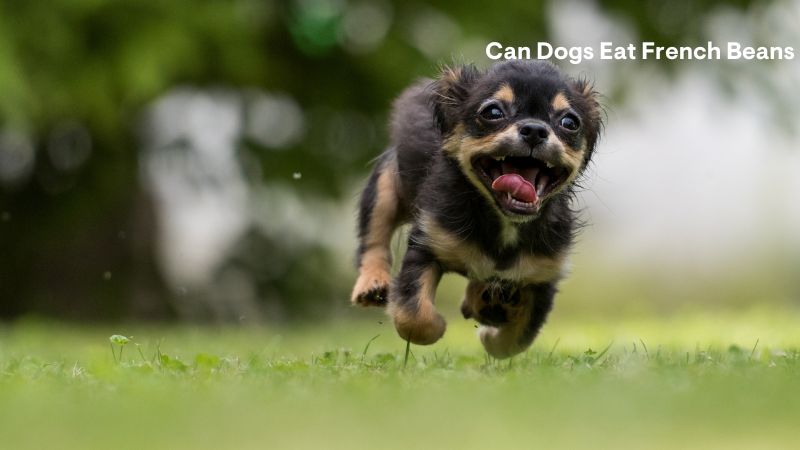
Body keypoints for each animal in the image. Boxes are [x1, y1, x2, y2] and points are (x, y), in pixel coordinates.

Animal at [350, 59, 600, 358]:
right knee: (374, 239)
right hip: (385, 187)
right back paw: (372, 284)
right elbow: (414, 317)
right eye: (492, 112)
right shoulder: (427, 245)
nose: (535, 130)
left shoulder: (542, 277)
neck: (504, 221)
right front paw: (439, 326)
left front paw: (490, 334)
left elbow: (515, 341)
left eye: (569, 122)